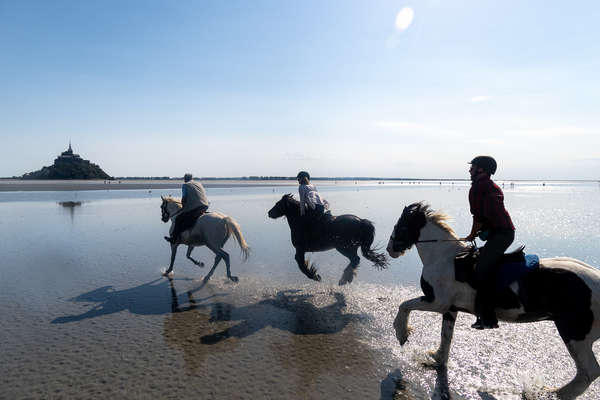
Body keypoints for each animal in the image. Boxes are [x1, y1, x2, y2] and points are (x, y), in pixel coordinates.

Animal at [384, 202, 600, 398]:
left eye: (401, 226)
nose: (390, 249)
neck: (442, 257)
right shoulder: (450, 308)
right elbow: (446, 336)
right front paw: (437, 357)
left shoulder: (437, 302)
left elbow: (405, 306)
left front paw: (402, 333)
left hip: (575, 333)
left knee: (588, 372)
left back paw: (552, 393)